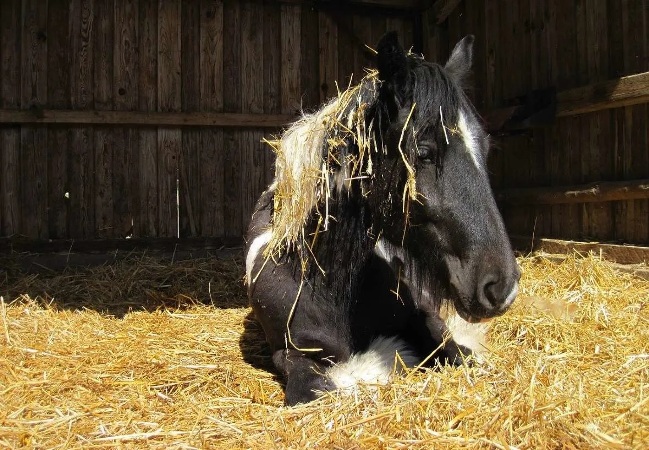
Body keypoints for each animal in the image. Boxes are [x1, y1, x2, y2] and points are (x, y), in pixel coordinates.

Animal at [244, 31, 520, 404]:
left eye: (485, 148)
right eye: (424, 152)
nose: (501, 286)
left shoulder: (426, 318)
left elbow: (456, 353)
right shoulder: (292, 356)